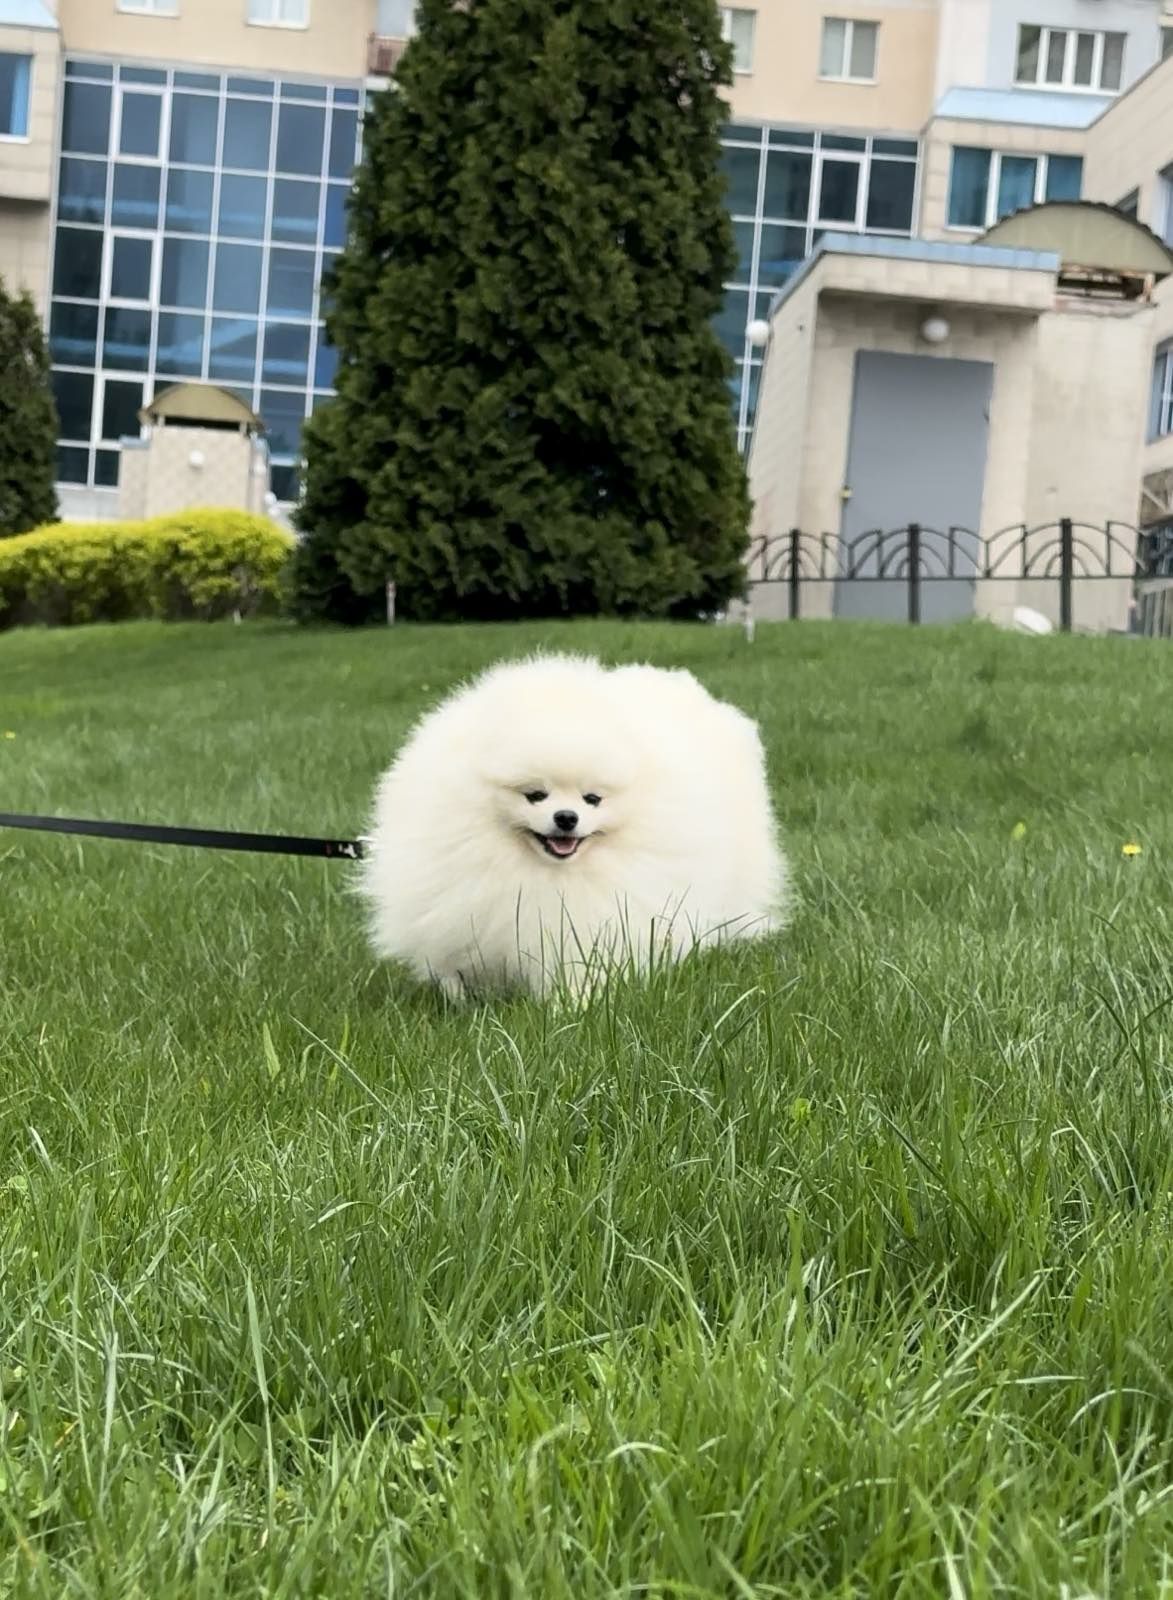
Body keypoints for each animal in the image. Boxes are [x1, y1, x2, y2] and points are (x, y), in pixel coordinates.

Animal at [361, 652, 790, 998]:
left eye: (592, 799)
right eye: (535, 795)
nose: (566, 818)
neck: (542, 872)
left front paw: (571, 1006)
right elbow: (457, 969)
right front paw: (462, 1000)